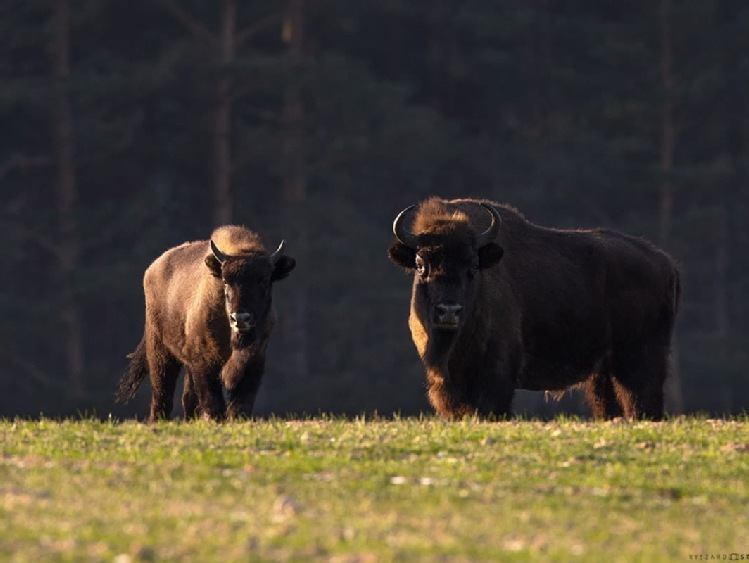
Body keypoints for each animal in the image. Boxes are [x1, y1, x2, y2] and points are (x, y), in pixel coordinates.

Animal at [114, 224, 296, 418]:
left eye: (264, 280)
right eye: (225, 281)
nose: (240, 318)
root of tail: (151, 270)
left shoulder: (254, 362)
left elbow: (240, 404)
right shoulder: (204, 362)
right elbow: (213, 402)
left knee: (187, 398)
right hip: (160, 352)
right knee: (162, 395)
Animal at [388, 196, 680, 420]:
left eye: (472, 265)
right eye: (421, 264)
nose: (449, 311)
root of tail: (665, 263)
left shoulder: (497, 376)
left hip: (640, 361)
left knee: (644, 401)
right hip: (603, 373)